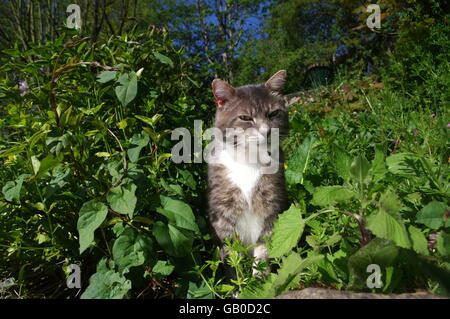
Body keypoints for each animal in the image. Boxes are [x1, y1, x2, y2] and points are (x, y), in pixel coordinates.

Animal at [207, 70, 288, 278]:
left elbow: (263, 248)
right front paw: (238, 283)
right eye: (245, 117)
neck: (249, 160)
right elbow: (232, 256)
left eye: (273, 113)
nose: (266, 131)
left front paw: (260, 279)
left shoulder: (272, 207)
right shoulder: (223, 214)